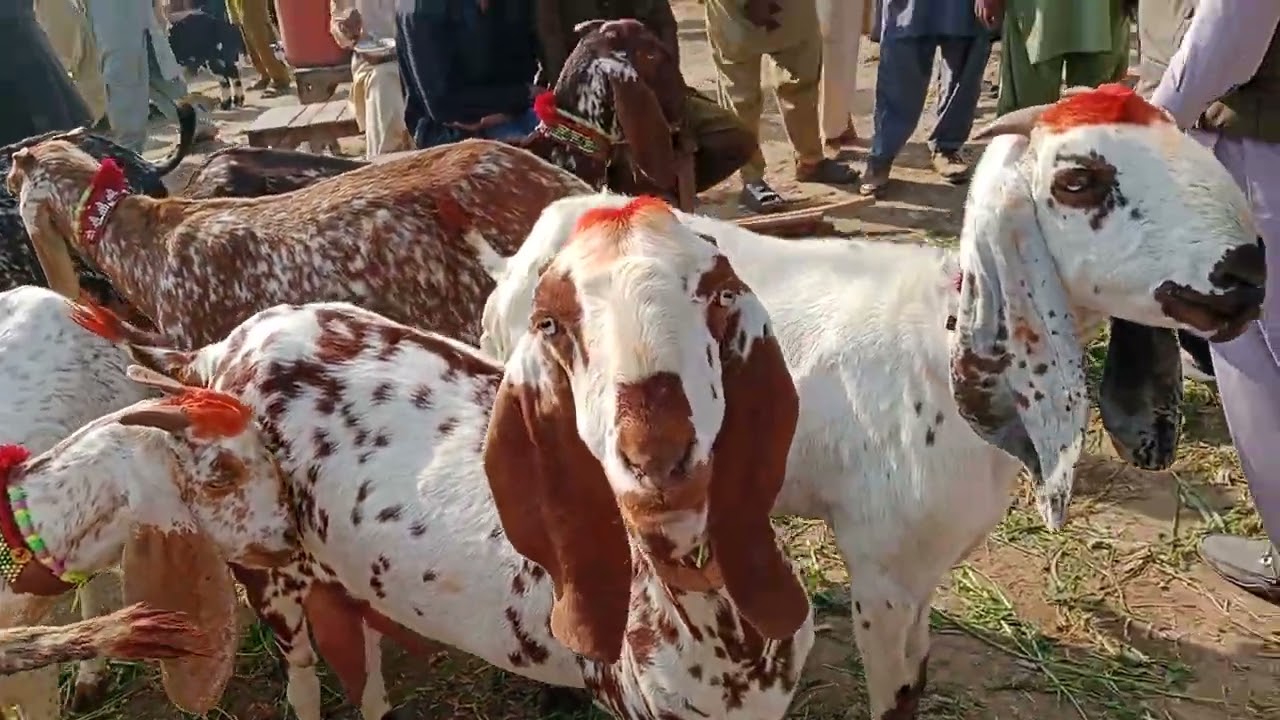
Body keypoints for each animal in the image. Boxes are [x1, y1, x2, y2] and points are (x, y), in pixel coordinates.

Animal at [71, 196, 815, 720]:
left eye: (721, 292)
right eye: (550, 323)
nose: (655, 459)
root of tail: (212, 355)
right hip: (266, 569)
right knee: (303, 677)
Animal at [478, 85, 1267, 718]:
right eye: (1077, 180)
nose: (1247, 273)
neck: (939, 346)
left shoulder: (921, 572)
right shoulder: (883, 570)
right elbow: (895, 691)